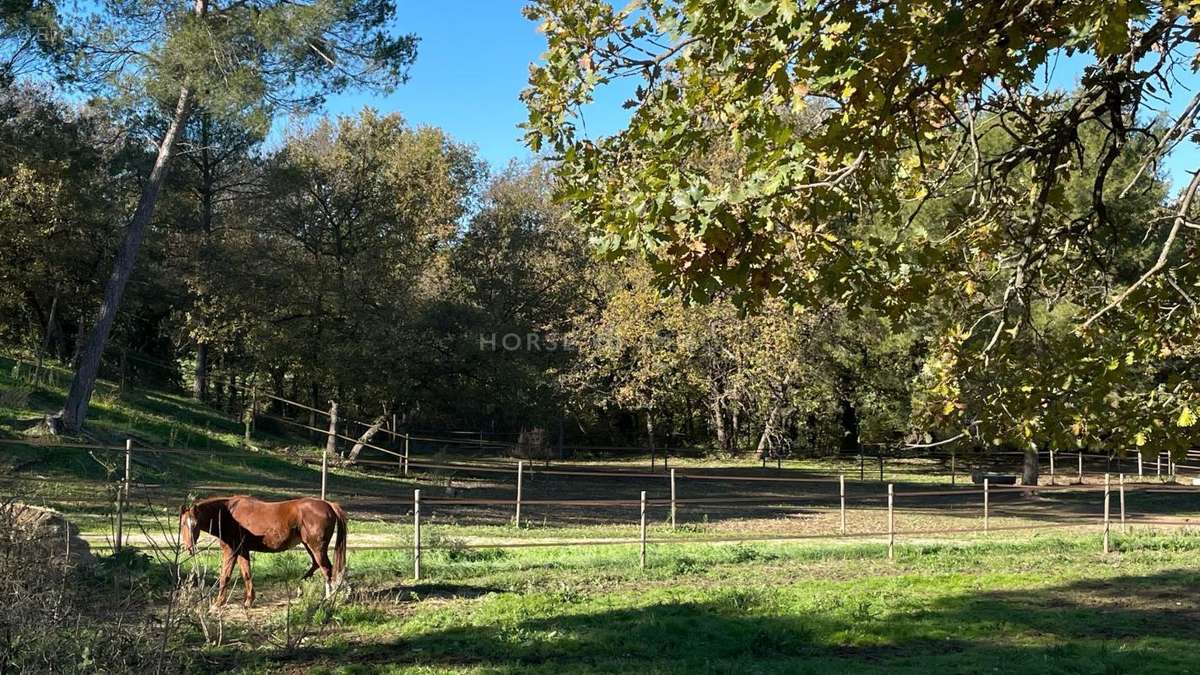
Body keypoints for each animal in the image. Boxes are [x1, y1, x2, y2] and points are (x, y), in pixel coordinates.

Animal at [177, 492, 350, 607]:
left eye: (195, 524)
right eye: (183, 524)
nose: (189, 547)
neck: (228, 514)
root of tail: (329, 505)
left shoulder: (231, 551)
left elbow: (225, 576)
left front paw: (218, 603)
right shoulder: (242, 551)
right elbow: (246, 574)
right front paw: (248, 600)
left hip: (316, 547)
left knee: (327, 570)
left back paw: (329, 599)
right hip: (310, 546)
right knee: (318, 566)